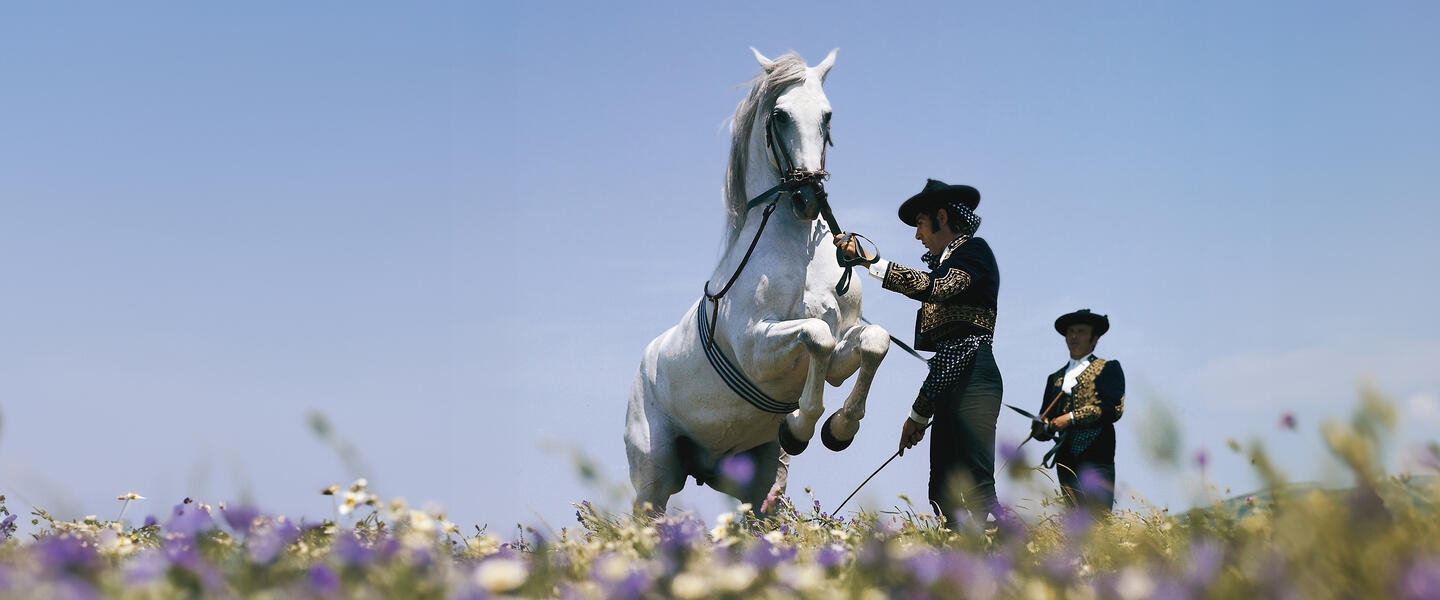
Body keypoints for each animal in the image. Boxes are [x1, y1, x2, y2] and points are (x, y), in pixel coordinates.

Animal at [627, 48, 892, 512]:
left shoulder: (845, 348)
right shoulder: (757, 350)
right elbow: (817, 334)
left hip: (759, 477)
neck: (800, 254)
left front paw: (839, 429)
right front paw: (801, 426)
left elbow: (873, 341)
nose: (807, 197)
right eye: (780, 115)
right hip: (652, 479)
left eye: (827, 116)